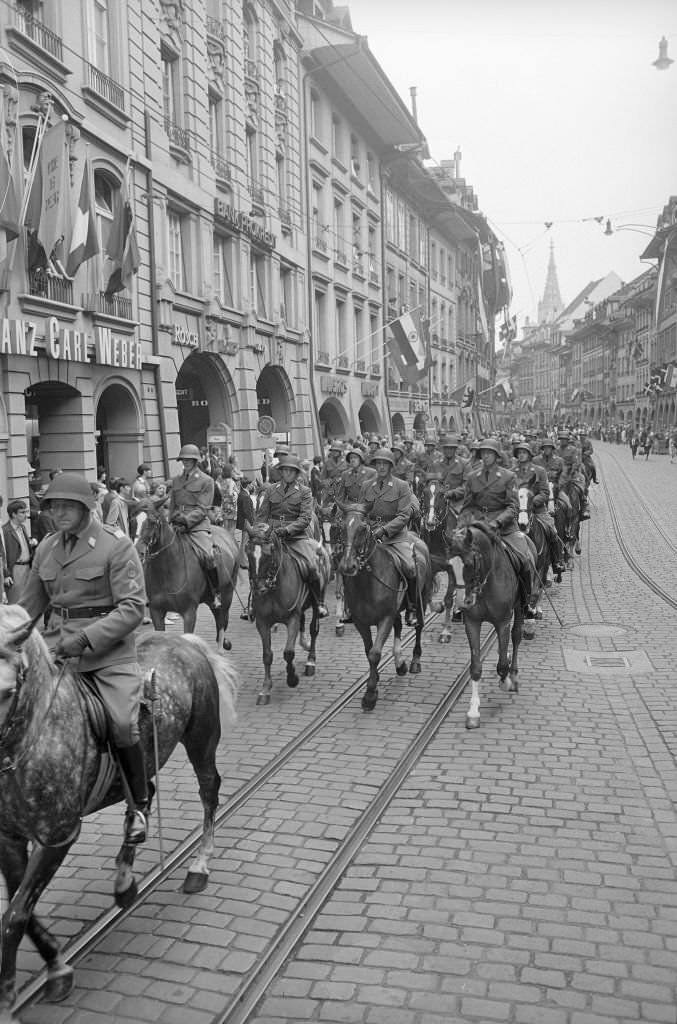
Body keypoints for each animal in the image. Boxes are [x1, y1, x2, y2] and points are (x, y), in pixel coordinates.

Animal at [0, 602, 237, 1019]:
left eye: (8, 690)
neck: (35, 734)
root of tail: (184, 641)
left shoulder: (58, 837)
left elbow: (15, 916)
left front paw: (9, 998)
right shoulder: (8, 841)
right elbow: (21, 911)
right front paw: (56, 964)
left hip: (200, 739)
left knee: (209, 791)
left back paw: (199, 865)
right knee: (145, 795)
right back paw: (125, 879)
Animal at [138, 509, 238, 647]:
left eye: (153, 523)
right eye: (141, 523)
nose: (139, 551)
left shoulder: (189, 613)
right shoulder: (156, 611)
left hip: (227, 594)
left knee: (221, 624)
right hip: (210, 599)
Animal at [243, 528, 331, 704]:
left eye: (269, 553)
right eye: (247, 552)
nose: (259, 588)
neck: (273, 589)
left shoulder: (292, 619)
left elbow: (288, 652)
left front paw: (292, 679)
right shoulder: (262, 623)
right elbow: (267, 655)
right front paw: (265, 689)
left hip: (316, 602)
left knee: (314, 629)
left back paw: (311, 661)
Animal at [448, 524, 522, 733]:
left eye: (469, 563)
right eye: (450, 565)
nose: (460, 602)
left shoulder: (503, 621)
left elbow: (502, 665)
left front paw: (505, 681)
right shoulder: (472, 623)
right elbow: (475, 667)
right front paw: (473, 712)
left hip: (520, 607)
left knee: (516, 637)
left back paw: (513, 675)